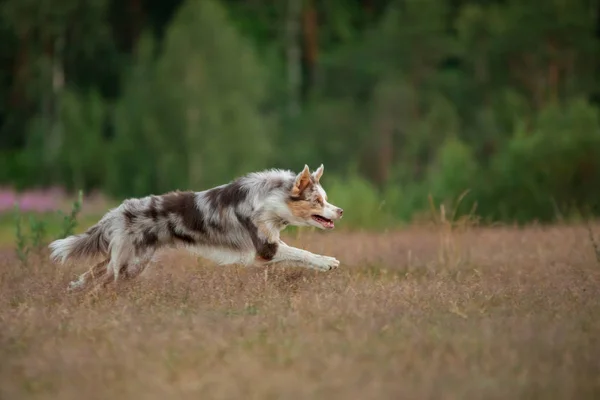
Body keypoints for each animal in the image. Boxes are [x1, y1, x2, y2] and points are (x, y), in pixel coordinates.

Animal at [49, 164, 344, 292]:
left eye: (326, 198)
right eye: (318, 201)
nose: (340, 211)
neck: (271, 201)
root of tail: (117, 212)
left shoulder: (271, 244)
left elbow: (300, 254)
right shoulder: (266, 249)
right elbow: (302, 253)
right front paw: (328, 262)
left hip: (133, 261)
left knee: (98, 269)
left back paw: (75, 287)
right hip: (127, 263)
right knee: (102, 277)